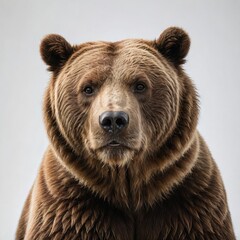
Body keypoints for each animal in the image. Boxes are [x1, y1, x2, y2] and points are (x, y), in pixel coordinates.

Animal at [15, 27, 235, 239]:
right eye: (88, 88)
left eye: (140, 85)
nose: (113, 120)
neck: (125, 183)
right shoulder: (69, 208)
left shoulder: (191, 202)